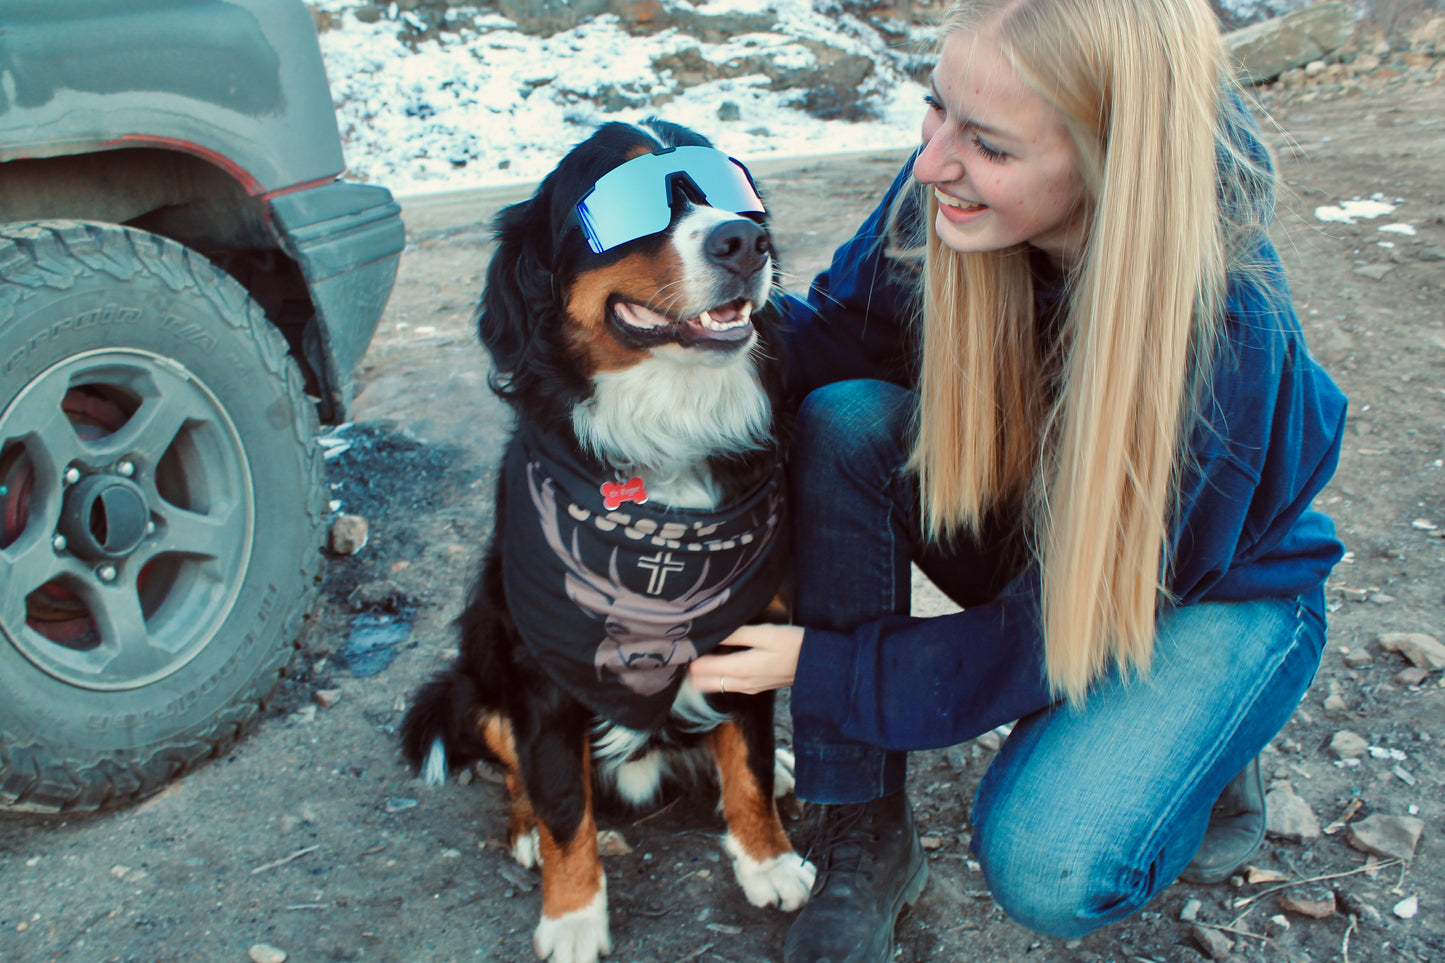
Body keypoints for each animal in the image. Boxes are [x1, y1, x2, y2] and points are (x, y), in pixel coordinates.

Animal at [401, 122, 820, 960]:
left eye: (731, 189)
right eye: (626, 203)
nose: (743, 240)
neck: (670, 431)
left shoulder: (746, 631)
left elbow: (750, 764)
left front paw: (767, 859)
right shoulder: (540, 672)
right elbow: (563, 800)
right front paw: (572, 916)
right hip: (478, 668)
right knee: (517, 774)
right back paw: (525, 833)